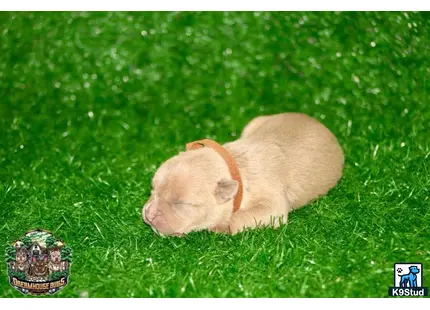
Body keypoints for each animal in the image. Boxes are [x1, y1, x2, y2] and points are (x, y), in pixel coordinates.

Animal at [143, 112, 344, 236]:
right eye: (153, 190)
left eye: (181, 204)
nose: (149, 214)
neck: (237, 168)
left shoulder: (272, 206)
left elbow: (240, 217)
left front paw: (221, 226)